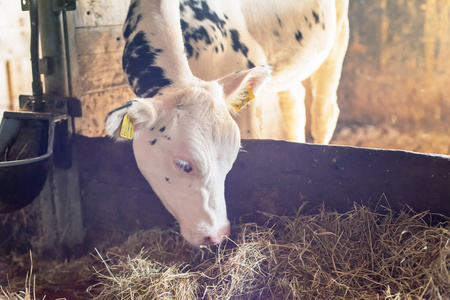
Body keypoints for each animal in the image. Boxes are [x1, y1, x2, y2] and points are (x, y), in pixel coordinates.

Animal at [105, 0, 348, 246]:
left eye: (232, 160)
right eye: (183, 164)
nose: (218, 234)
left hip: (338, 35)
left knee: (324, 110)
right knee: (294, 101)